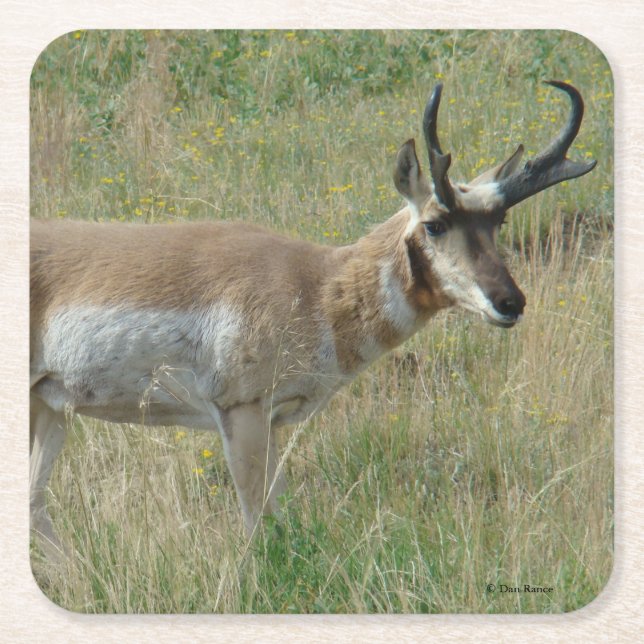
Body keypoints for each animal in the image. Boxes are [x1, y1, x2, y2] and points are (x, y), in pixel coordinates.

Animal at [30, 81, 596, 556]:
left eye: (499, 220)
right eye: (435, 224)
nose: (510, 302)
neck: (316, 284)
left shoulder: (273, 423)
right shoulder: (242, 412)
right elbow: (258, 523)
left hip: (52, 408)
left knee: (34, 505)